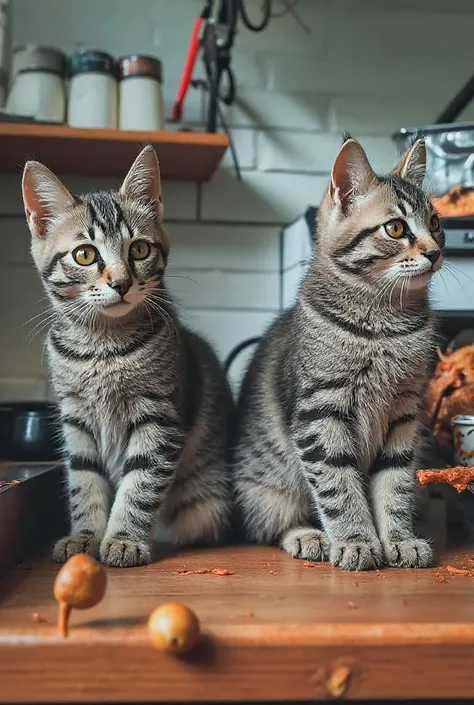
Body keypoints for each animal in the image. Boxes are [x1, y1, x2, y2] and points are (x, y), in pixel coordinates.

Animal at [22, 144, 233, 568]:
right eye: (85, 255)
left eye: (139, 249)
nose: (120, 283)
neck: (102, 348)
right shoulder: (76, 421)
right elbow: (84, 482)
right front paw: (84, 536)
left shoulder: (159, 417)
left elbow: (141, 483)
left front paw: (123, 539)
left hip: (205, 507)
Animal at [233, 135, 444, 568]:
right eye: (396, 228)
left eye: (434, 223)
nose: (434, 252)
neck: (384, 326)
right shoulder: (320, 414)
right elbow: (339, 485)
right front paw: (357, 541)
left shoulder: (404, 414)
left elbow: (395, 483)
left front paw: (399, 539)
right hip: (268, 487)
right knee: (268, 525)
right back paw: (308, 536)